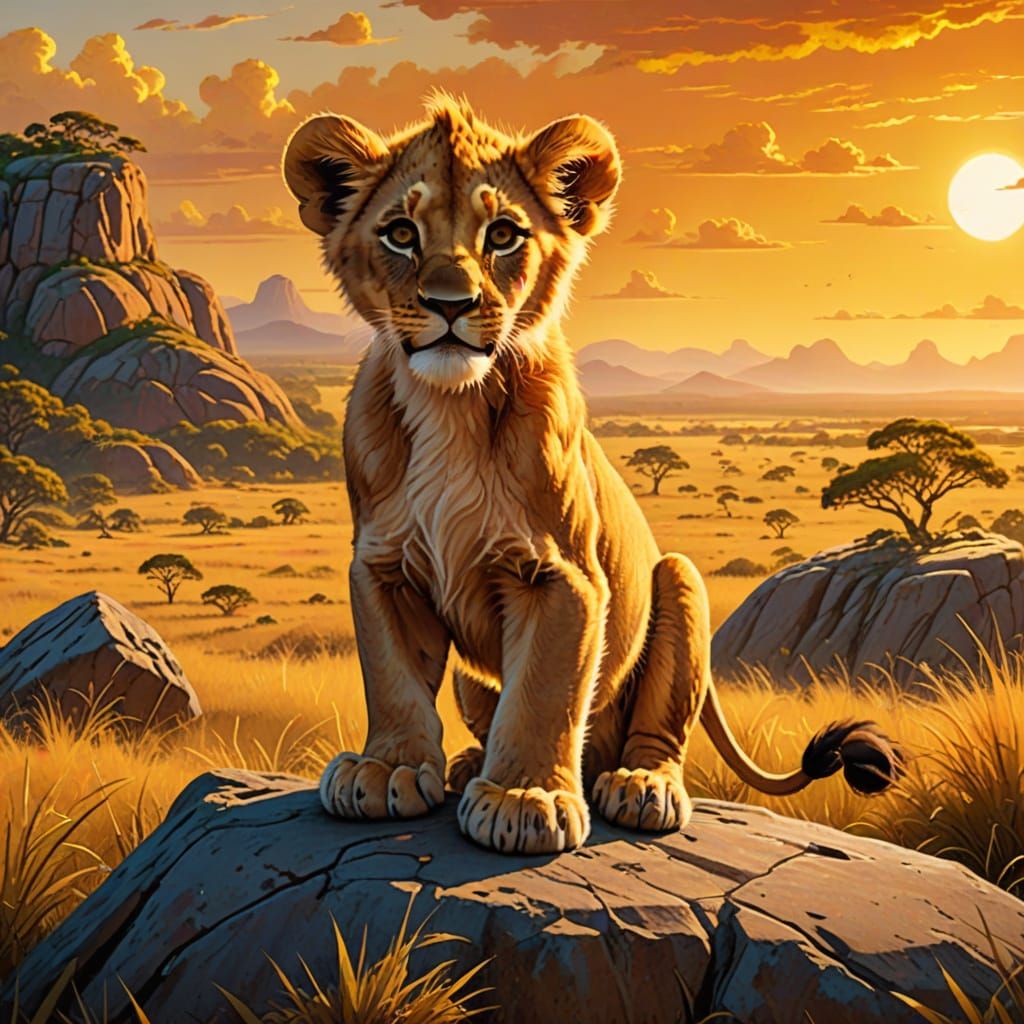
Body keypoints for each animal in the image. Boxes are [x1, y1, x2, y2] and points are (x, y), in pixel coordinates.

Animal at [282, 95, 900, 855]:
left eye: (503, 234)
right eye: (400, 233)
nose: (450, 304)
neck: (452, 404)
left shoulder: (564, 574)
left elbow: (543, 693)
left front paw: (525, 798)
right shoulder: (382, 566)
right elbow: (393, 677)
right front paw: (387, 770)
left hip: (679, 584)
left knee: (653, 731)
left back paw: (641, 788)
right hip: (473, 680)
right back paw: (467, 765)